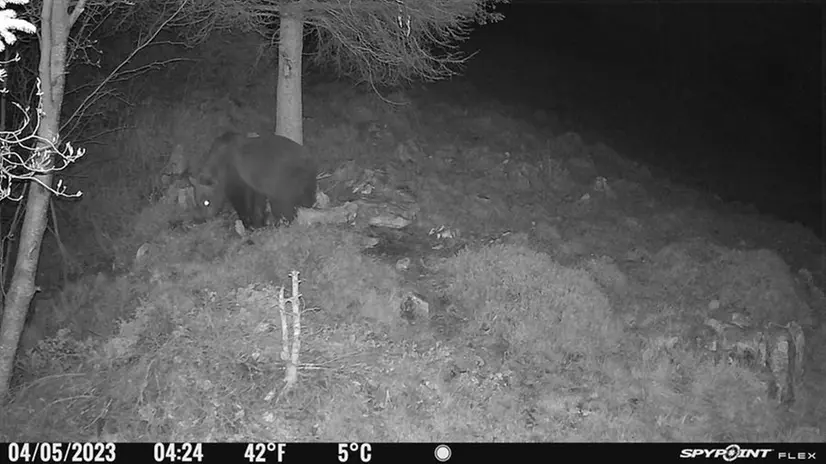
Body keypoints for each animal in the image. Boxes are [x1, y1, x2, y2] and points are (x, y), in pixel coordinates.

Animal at [188, 130, 318, 228]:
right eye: (197, 200)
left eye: (206, 202)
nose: (200, 218)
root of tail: (310, 159)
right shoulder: (255, 182)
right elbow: (258, 200)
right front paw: (259, 221)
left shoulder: (237, 176)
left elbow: (241, 200)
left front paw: (249, 223)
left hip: (287, 180)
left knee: (284, 203)